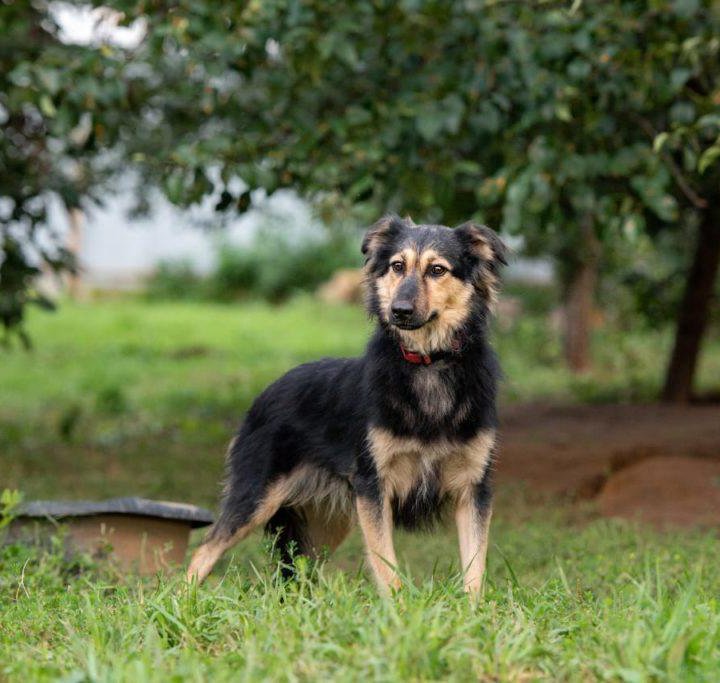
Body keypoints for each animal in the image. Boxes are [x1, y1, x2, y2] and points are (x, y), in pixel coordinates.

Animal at [184, 216, 506, 596]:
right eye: (397, 266)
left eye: (437, 270)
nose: (399, 311)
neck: (428, 362)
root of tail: (267, 392)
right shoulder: (373, 486)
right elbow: (386, 566)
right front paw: (399, 608)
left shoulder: (473, 488)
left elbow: (475, 568)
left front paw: (472, 609)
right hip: (256, 495)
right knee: (204, 551)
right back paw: (184, 600)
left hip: (326, 523)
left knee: (300, 572)